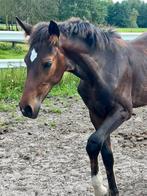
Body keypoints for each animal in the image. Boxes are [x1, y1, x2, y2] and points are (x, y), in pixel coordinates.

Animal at [16, 16, 147, 196]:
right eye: (25, 60)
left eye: (47, 63)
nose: (26, 108)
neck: (105, 67)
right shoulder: (96, 114)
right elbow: (107, 154)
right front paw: (112, 190)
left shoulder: (122, 111)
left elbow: (93, 143)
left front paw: (100, 188)